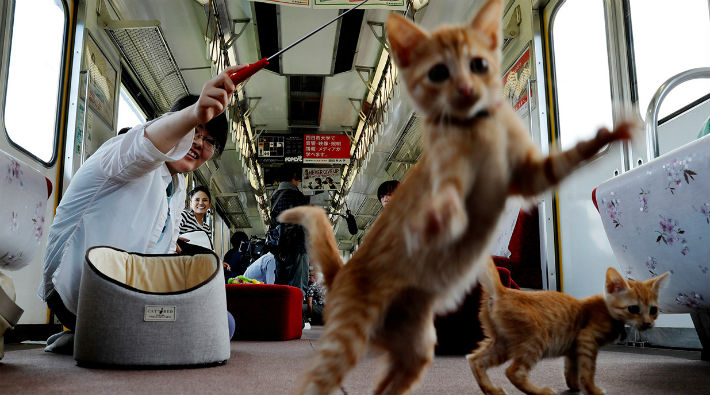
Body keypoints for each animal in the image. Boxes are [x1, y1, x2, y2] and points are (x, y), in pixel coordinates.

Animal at [278, 0, 640, 392]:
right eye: (438, 72)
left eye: (478, 64)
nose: (466, 88)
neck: (478, 130)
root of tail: (344, 269)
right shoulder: (447, 170)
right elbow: (448, 193)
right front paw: (444, 215)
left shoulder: (528, 176)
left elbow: (565, 159)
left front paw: (610, 134)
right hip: (349, 338)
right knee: (315, 381)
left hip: (417, 347)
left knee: (386, 384)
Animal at [470, 260, 672, 395]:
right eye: (633, 309)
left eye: (653, 310)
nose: (648, 323)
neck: (606, 310)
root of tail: (503, 291)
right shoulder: (587, 337)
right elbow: (588, 369)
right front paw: (592, 389)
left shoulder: (574, 346)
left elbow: (571, 368)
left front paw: (574, 385)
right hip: (535, 338)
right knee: (514, 372)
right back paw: (541, 391)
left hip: (502, 343)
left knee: (475, 359)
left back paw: (491, 389)